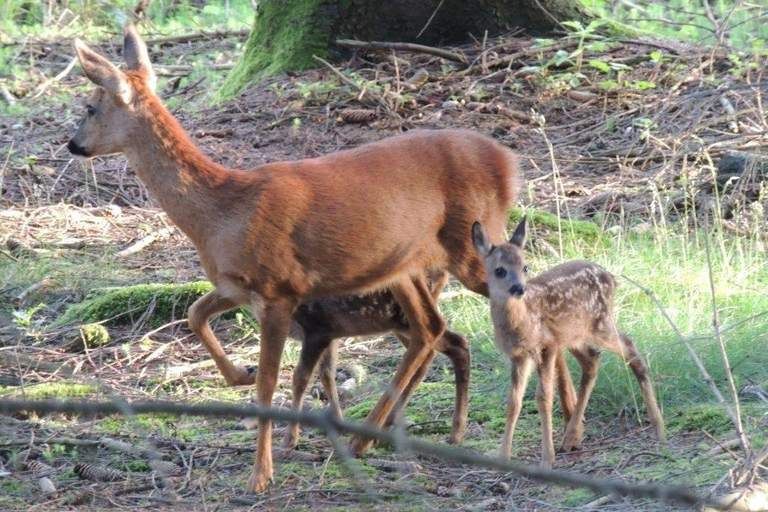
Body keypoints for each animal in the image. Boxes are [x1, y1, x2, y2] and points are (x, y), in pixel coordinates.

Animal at [69, 24, 535, 492]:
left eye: (89, 106)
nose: (73, 144)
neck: (222, 212)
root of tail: (510, 163)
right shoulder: (238, 285)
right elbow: (194, 313)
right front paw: (239, 375)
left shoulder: (279, 288)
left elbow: (271, 382)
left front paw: (260, 473)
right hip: (404, 267)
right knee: (430, 328)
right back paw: (388, 435)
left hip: (473, 247)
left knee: (513, 296)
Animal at [471, 218, 665, 468]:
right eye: (499, 270)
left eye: (525, 267)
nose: (519, 288)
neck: (522, 323)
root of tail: (611, 277)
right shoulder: (518, 355)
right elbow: (513, 401)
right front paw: (503, 456)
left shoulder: (548, 345)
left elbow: (543, 397)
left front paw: (547, 459)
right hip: (575, 336)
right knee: (592, 360)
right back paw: (571, 436)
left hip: (600, 324)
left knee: (630, 346)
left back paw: (659, 428)